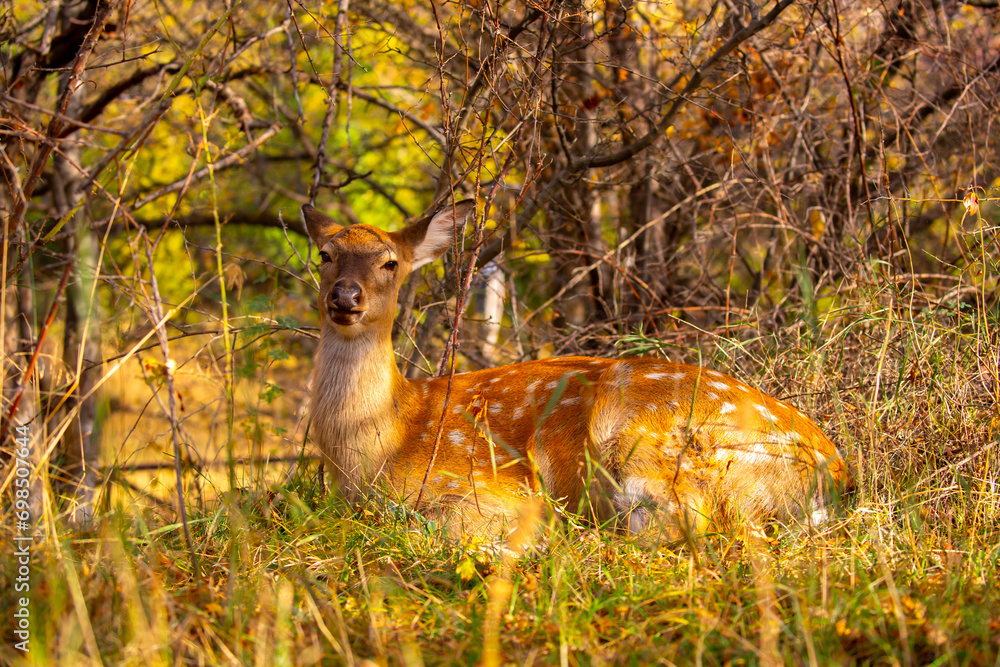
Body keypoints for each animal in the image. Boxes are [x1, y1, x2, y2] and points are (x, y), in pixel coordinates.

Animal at [302, 199, 849, 543]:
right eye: (325, 254)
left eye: (390, 262)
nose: (345, 296)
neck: (384, 440)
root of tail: (837, 474)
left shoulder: (486, 481)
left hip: (643, 432)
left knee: (683, 521)